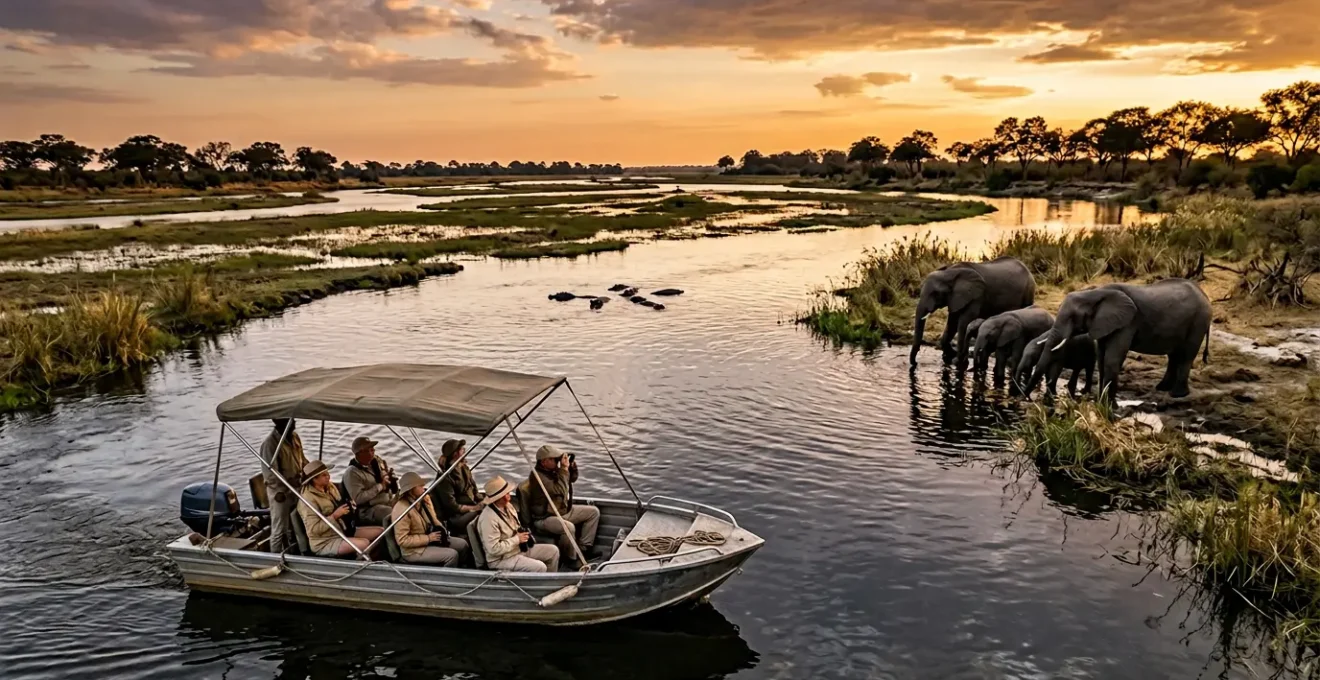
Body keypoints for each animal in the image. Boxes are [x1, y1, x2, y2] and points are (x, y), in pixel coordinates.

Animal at [1039, 279, 1211, 400]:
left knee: (1186, 355)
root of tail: (1204, 294)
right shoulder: (1104, 323)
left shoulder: (1127, 322)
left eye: (1073, 317)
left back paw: (1177, 394)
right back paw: (1162, 388)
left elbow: (1112, 359)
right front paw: (1100, 401)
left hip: (1198, 321)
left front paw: (1108, 405)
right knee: (1174, 355)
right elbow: (1101, 358)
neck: (1096, 292)